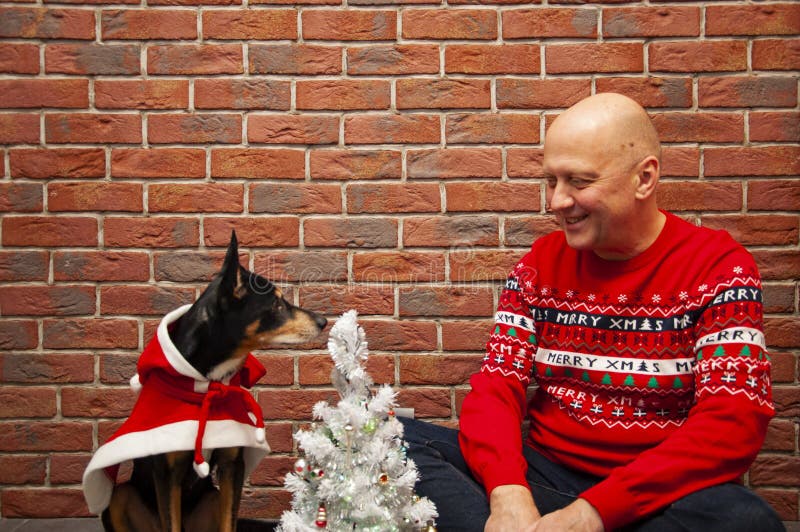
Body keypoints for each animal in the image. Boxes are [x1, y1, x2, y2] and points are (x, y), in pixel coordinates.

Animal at [82, 232, 328, 532]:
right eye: (277, 304)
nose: (323, 321)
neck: (211, 382)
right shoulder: (167, 472)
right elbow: (172, 523)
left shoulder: (233, 465)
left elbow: (229, 522)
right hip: (118, 496)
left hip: (212, 498)